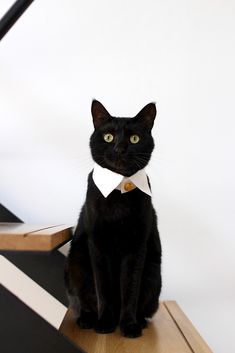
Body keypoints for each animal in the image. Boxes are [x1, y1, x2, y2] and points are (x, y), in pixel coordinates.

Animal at [65, 100, 162, 336]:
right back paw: (87, 320)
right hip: (75, 265)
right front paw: (105, 323)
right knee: (83, 301)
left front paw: (129, 325)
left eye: (134, 139)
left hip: (153, 274)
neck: (118, 194)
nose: (119, 149)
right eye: (108, 137)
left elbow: (130, 289)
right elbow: (104, 289)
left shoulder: (136, 248)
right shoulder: (98, 246)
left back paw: (140, 322)